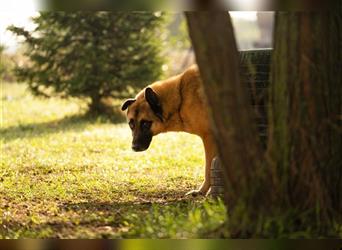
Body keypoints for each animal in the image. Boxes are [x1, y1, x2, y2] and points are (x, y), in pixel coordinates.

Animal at [121, 65, 215, 195]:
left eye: (145, 123)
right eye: (131, 124)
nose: (134, 147)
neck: (180, 98)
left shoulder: (209, 139)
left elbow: (208, 169)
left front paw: (203, 191)